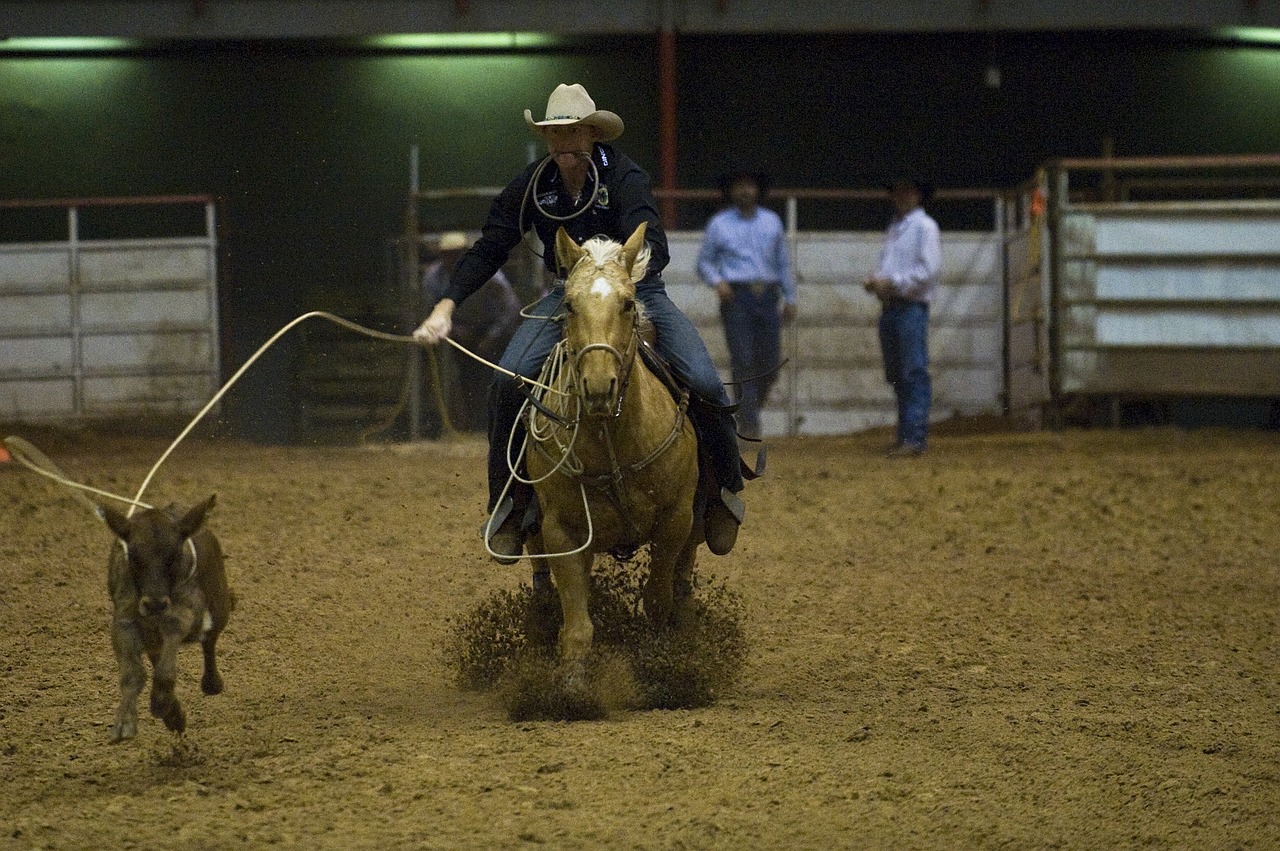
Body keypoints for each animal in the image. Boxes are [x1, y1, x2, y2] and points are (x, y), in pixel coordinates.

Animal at [519, 222, 701, 660]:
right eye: (569, 305)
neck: (612, 441)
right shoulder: (563, 532)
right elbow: (578, 630)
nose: (599, 387)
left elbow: (657, 601)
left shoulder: (675, 520)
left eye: (628, 304)